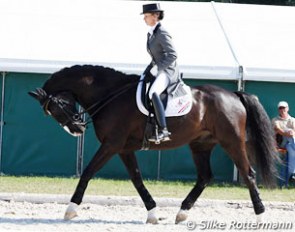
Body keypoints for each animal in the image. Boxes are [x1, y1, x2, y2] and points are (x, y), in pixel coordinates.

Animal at [28, 64, 278, 224]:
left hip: (232, 142)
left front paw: (71, 209)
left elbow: (88, 172)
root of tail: (234, 95)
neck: (110, 94)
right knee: (205, 177)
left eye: (57, 106)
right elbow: (137, 179)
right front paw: (153, 213)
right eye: (51, 112)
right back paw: (182, 213)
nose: (76, 129)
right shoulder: (123, 148)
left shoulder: (111, 145)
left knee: (248, 174)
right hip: (201, 145)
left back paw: (261, 215)